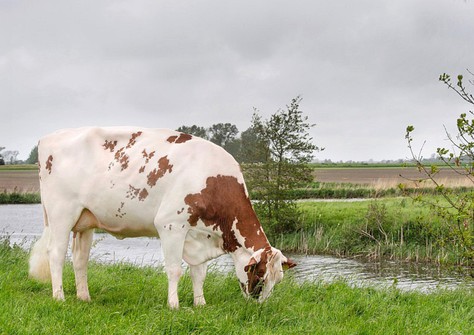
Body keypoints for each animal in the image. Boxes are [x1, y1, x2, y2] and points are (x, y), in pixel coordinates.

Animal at [27, 127, 294, 308]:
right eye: (260, 277)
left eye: (278, 280)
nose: (259, 307)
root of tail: (48, 138)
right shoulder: (171, 225)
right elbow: (175, 269)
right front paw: (174, 305)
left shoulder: (199, 232)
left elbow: (199, 273)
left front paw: (200, 303)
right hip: (61, 214)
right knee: (56, 254)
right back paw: (59, 297)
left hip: (84, 221)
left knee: (80, 259)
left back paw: (84, 297)